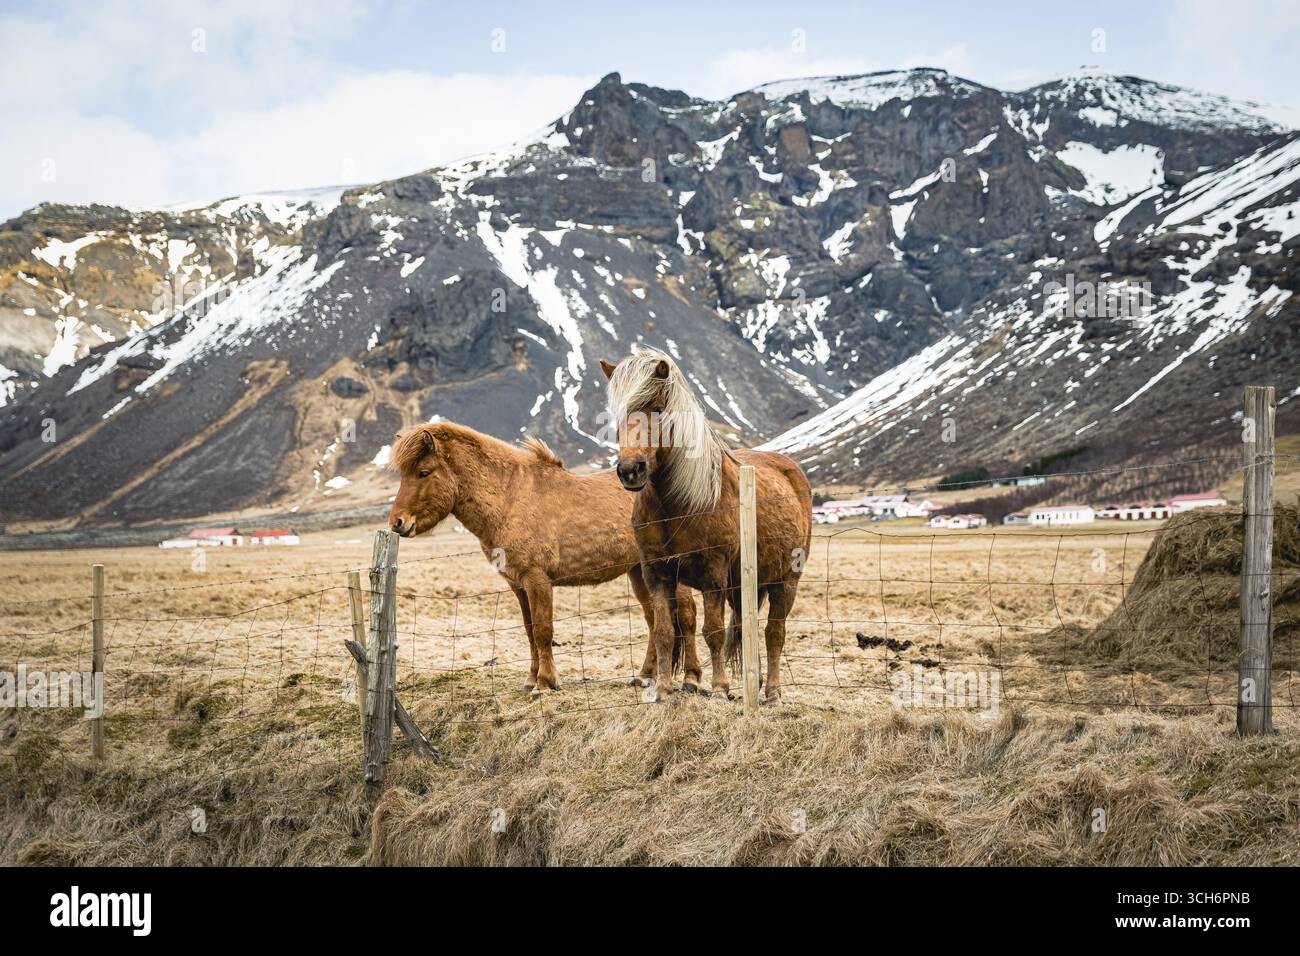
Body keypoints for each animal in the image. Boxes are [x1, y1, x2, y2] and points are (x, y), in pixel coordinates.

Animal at [388, 421, 700, 694]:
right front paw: (531, 680)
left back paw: (692, 679)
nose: (397, 523)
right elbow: (529, 632)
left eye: (424, 472)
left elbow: (542, 630)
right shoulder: (518, 585)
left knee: (685, 615)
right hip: (639, 571)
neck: (511, 498)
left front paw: (545, 683)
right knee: (653, 618)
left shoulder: (537, 580)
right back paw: (645, 676)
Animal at [600, 349, 812, 702]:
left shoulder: (713, 574)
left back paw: (772, 692)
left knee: (774, 633)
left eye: (657, 409)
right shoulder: (656, 573)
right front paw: (663, 689)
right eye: (618, 414)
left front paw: (719, 689)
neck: (676, 505)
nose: (630, 470)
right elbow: (663, 630)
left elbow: (712, 631)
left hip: (785, 581)